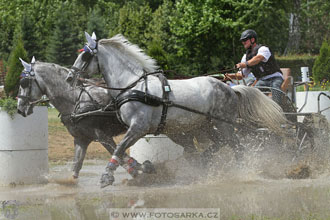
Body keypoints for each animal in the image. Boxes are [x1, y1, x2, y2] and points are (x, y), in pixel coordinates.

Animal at [17, 58, 156, 180]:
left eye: (24, 83)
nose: (19, 109)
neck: (75, 101)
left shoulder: (102, 135)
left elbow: (120, 155)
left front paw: (143, 170)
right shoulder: (81, 139)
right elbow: (76, 166)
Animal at [67, 32, 288, 187]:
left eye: (85, 56)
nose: (70, 77)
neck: (133, 86)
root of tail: (231, 89)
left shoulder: (139, 127)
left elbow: (119, 148)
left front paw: (107, 176)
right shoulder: (138, 130)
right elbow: (120, 151)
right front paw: (142, 168)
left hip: (223, 124)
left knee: (237, 147)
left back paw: (241, 173)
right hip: (207, 126)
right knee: (220, 144)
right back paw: (205, 161)